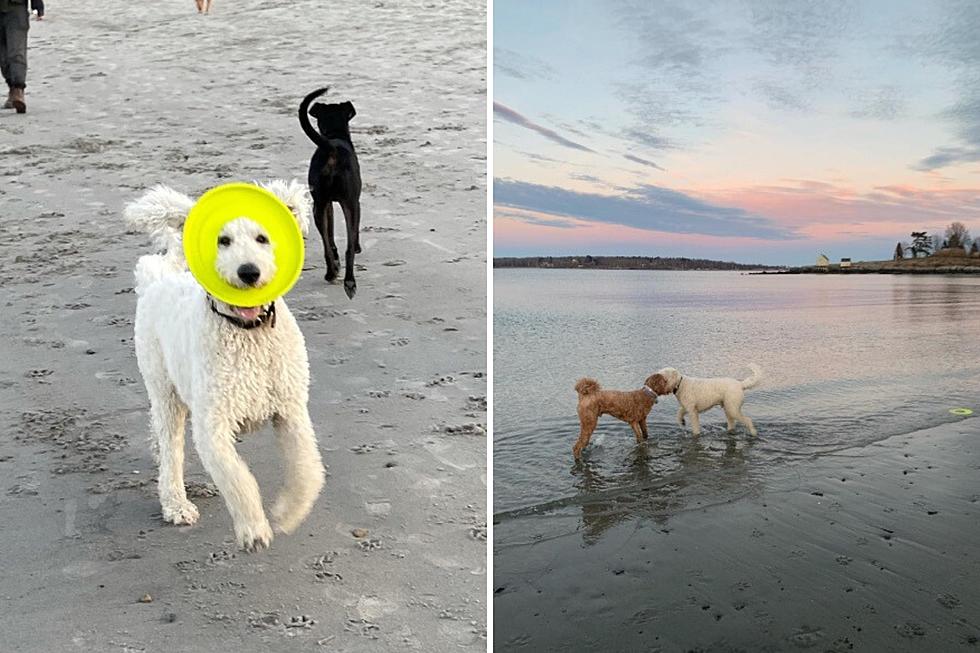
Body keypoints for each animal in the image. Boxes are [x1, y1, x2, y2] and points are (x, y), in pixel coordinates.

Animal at [123, 178, 326, 552]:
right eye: (223, 240)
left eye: (262, 237)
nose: (248, 272)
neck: (248, 332)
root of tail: (158, 277)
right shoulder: (214, 424)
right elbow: (238, 478)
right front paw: (254, 530)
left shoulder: (291, 410)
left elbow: (307, 469)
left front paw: (288, 513)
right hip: (164, 388)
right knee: (171, 448)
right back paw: (176, 502)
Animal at [298, 86, 364, 298]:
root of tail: (331, 149)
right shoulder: (353, 202)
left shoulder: (327, 204)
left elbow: (331, 235)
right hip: (349, 204)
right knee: (349, 247)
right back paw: (346, 279)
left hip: (318, 205)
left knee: (327, 243)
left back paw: (334, 272)